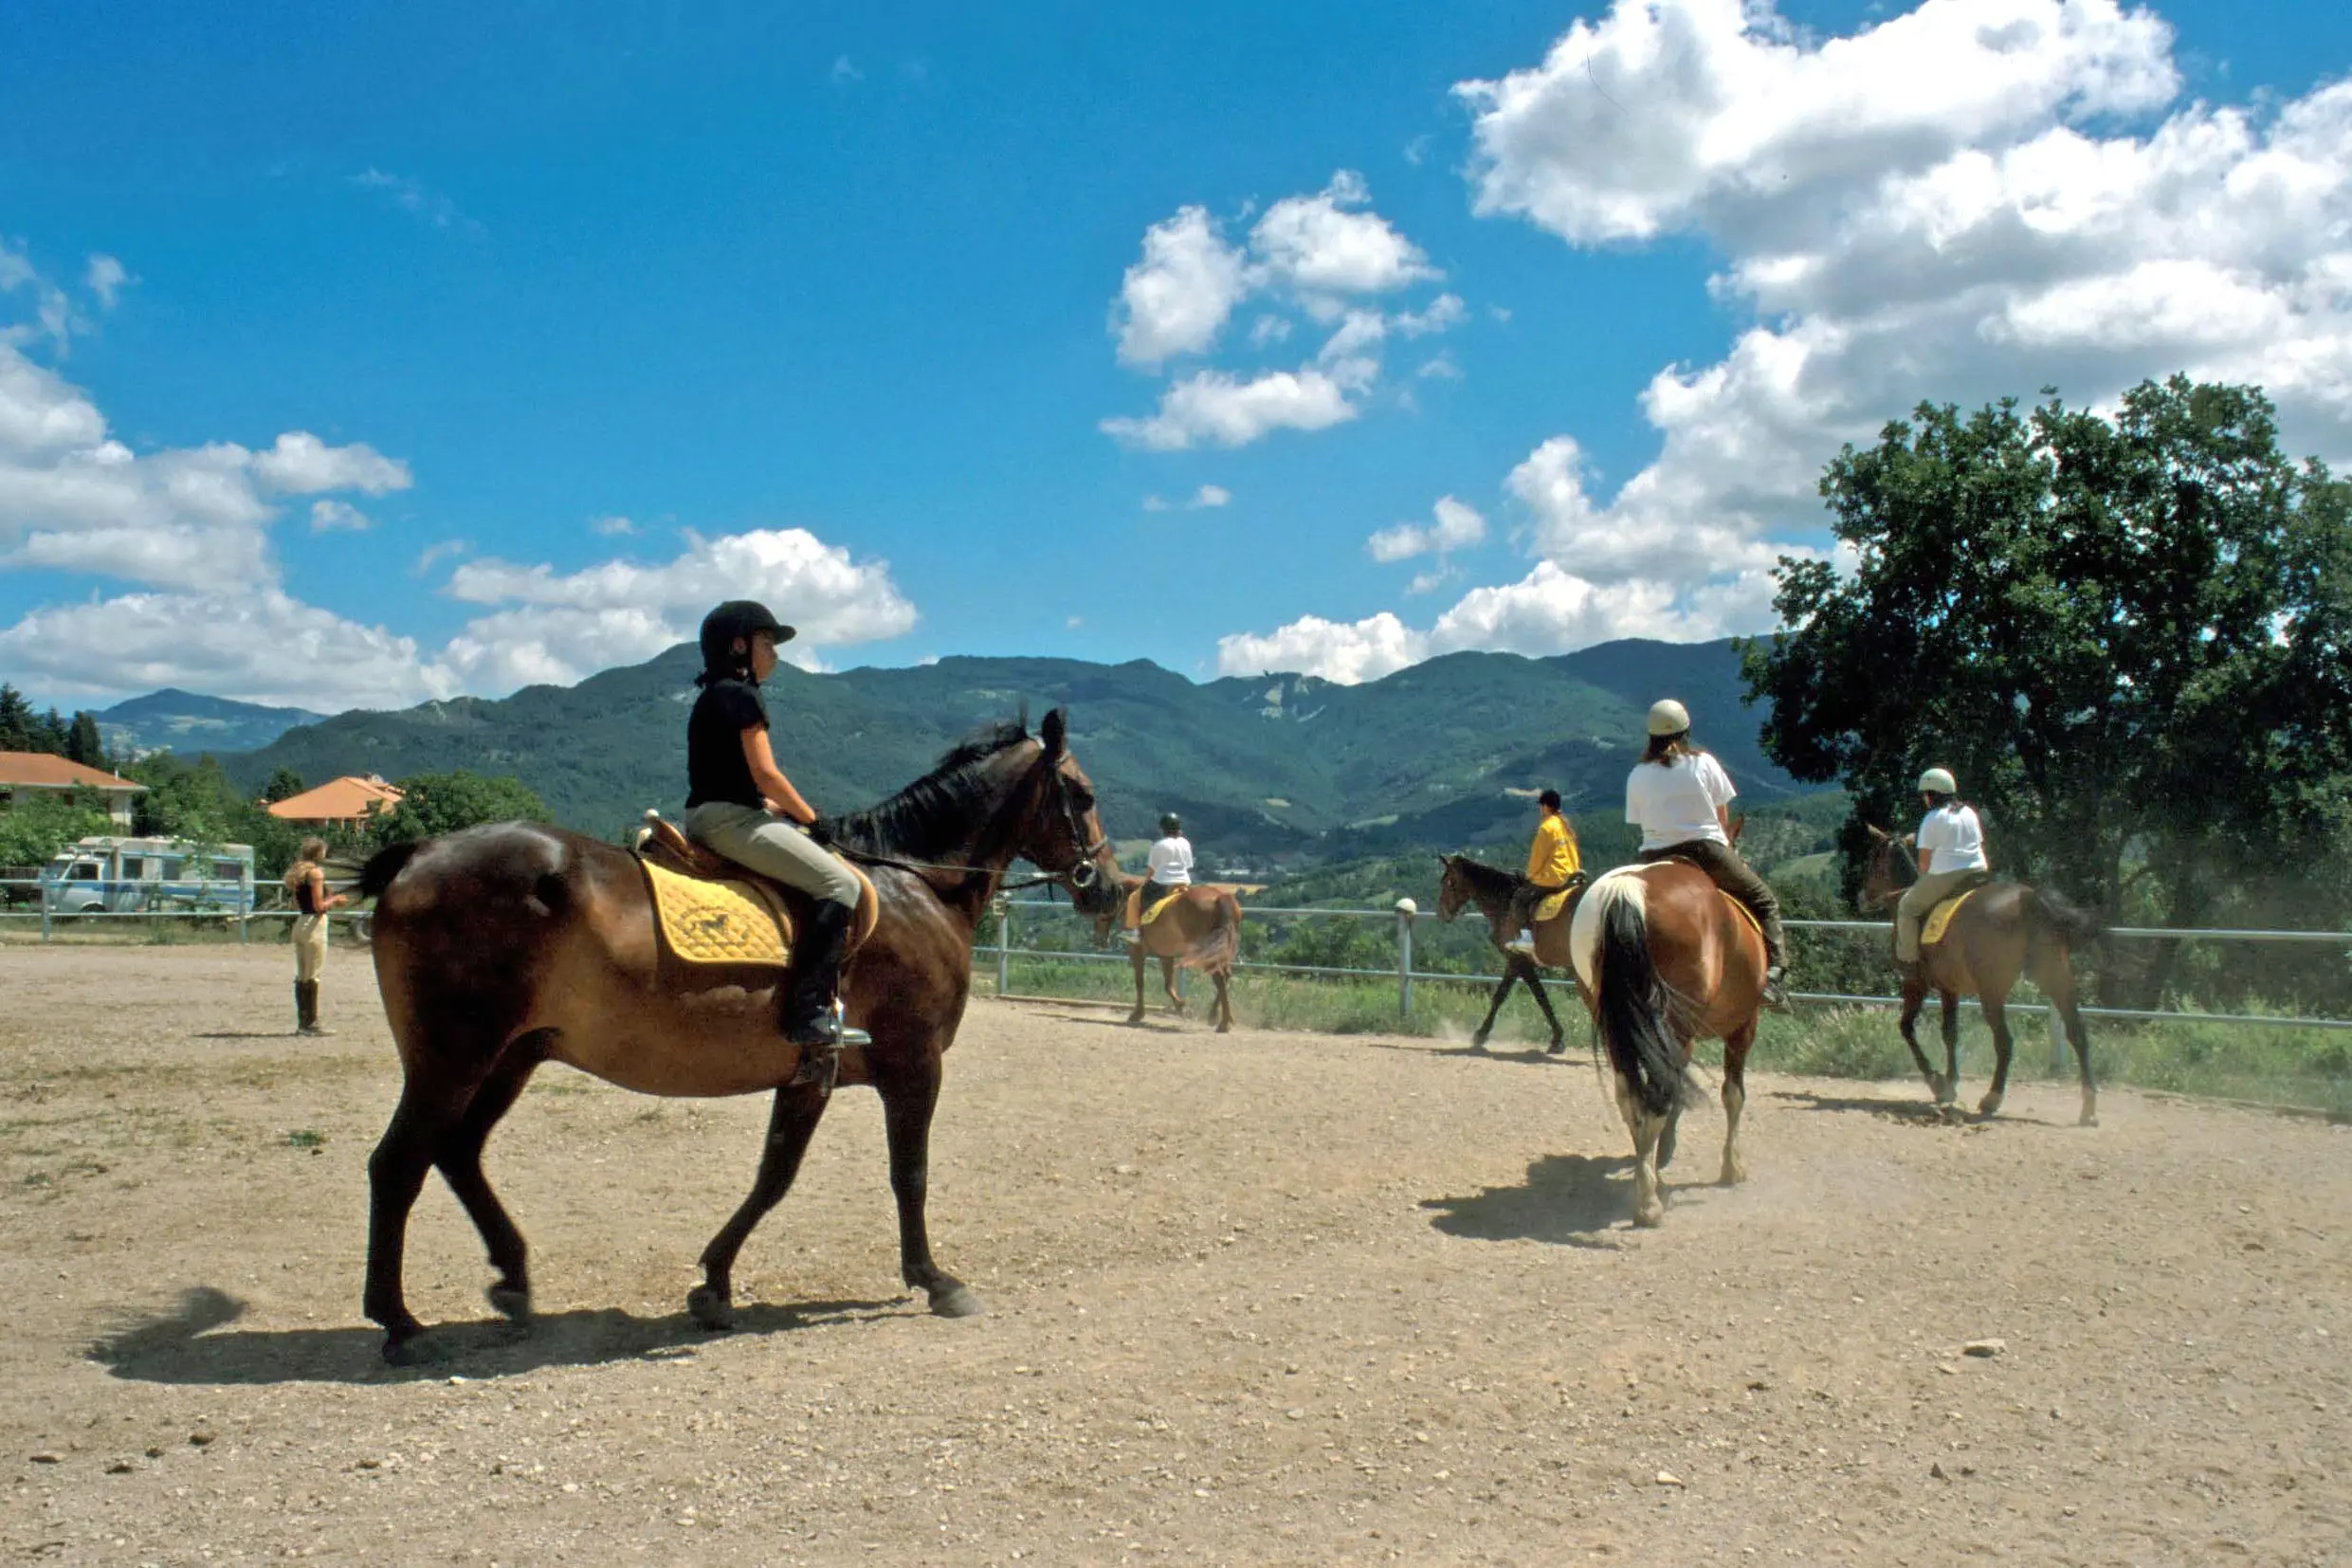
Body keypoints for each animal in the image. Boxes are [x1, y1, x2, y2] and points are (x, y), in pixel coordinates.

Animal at [353, 709, 1114, 1363]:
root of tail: (421, 854)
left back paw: (512, 1281)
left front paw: (714, 1285)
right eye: (1081, 793)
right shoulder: (913, 1061)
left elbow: (775, 1175)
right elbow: (909, 1174)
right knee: (398, 1164)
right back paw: (401, 1325)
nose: (1106, 887)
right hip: (453, 1057)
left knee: (457, 1152)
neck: (916, 886)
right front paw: (935, 1279)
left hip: (512, 1055)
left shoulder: (813, 1071)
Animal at [1091, 879, 1250, 1034]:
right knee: (1226, 975)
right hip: (1220, 948)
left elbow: (1140, 982)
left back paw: (1224, 1023)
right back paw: (1215, 1016)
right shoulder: (1166, 954)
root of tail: (1220, 898)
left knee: (1219, 977)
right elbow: (1168, 984)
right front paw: (1181, 1007)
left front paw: (1138, 1013)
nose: (1098, 939)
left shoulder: (1136, 950)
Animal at [1420, 850, 1571, 1062]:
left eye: (1448, 881)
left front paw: (1480, 1035)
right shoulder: (1515, 962)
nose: (1442, 913)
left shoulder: (1518, 960)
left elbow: (1531, 995)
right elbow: (1507, 994)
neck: (1506, 903)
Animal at [1571, 865, 1759, 1231]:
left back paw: (1645, 1178)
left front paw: (1664, 1152)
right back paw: (1648, 1204)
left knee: (1633, 1098)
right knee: (1657, 1099)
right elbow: (1733, 1095)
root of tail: (1628, 891)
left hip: (1616, 1026)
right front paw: (1732, 1167)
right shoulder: (1743, 1026)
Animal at [1862, 822, 2106, 1128]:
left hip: (1992, 991)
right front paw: (1950, 1082)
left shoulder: (1915, 983)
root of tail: (2029, 899)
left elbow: (1907, 1028)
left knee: (2004, 1041)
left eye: (1873, 858)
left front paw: (1937, 1083)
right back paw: (2089, 1106)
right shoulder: (1949, 988)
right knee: (2078, 1033)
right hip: (2056, 977)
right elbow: (1950, 1033)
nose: (1863, 896)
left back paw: (1992, 1098)